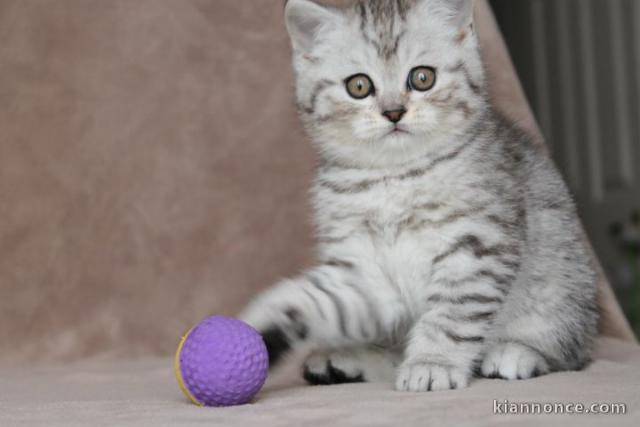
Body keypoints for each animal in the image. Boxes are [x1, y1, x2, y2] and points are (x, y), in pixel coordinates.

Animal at [238, 0, 596, 392]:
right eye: (359, 86)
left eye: (423, 78)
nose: (393, 111)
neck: (395, 177)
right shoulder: (364, 270)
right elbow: (319, 299)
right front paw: (266, 322)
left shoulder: (476, 247)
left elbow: (452, 314)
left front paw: (433, 362)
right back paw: (345, 360)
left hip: (563, 284)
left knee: (571, 350)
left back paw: (516, 352)